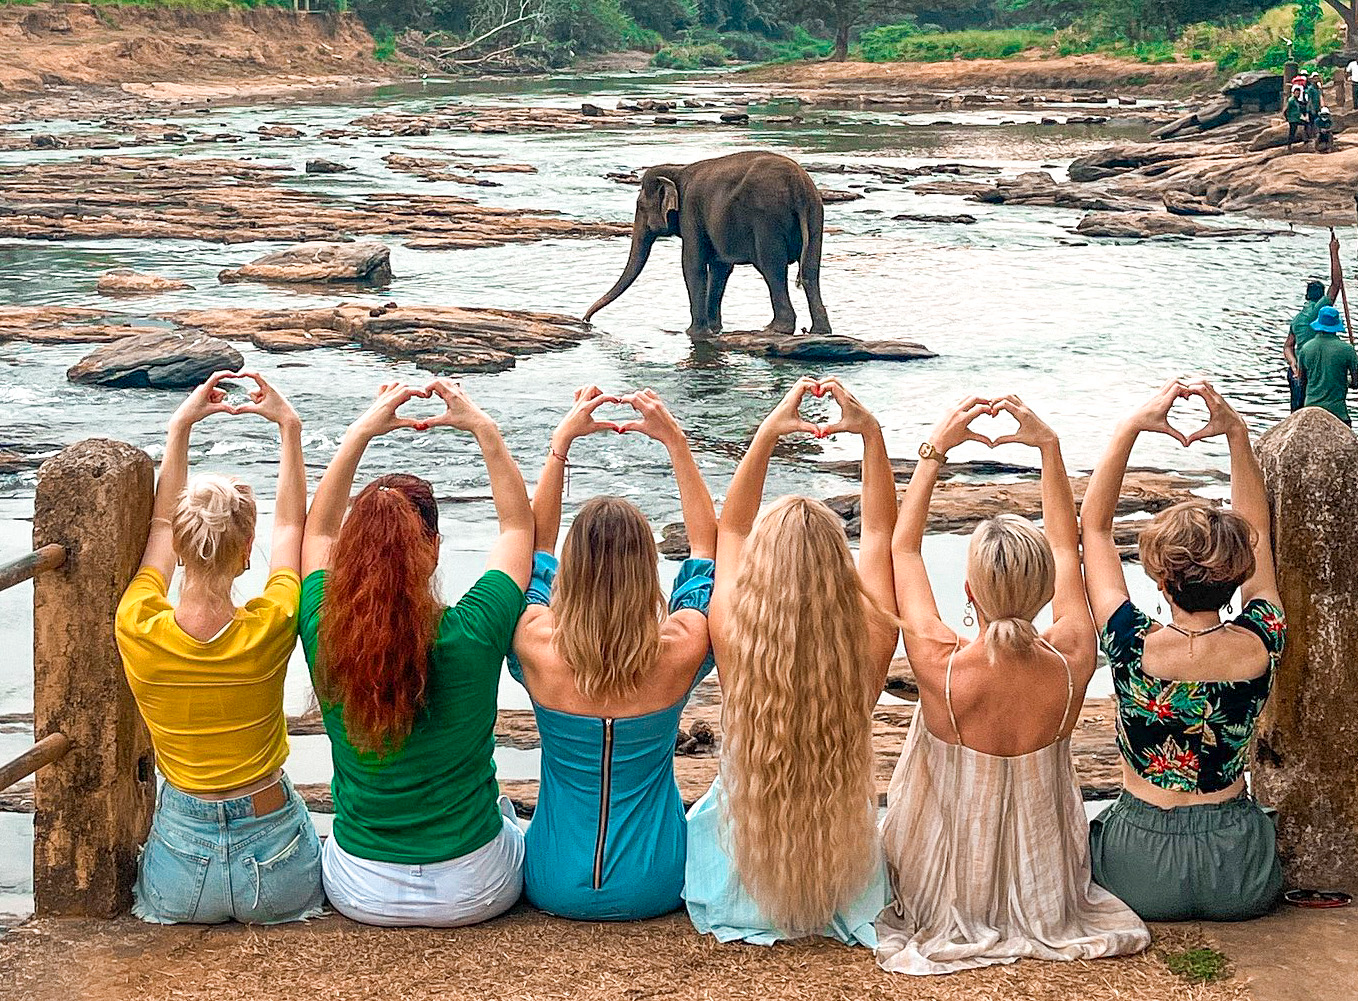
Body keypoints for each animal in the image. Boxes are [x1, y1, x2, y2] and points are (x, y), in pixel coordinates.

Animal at [581, 148, 825, 335]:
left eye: (640, 206)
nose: (586, 320)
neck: (677, 169)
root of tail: (798, 185)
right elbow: (720, 268)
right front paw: (714, 328)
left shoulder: (691, 212)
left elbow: (692, 265)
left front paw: (694, 332)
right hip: (815, 215)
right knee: (810, 271)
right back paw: (819, 331)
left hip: (767, 220)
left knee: (773, 269)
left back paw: (775, 329)